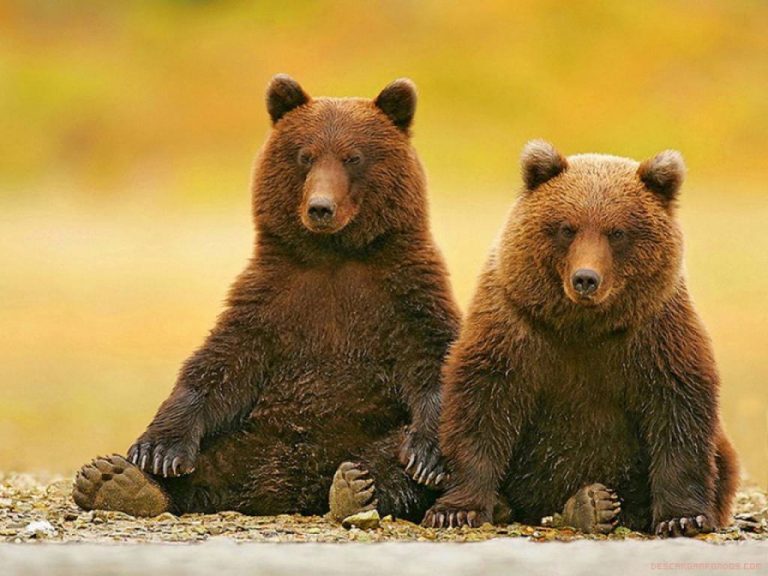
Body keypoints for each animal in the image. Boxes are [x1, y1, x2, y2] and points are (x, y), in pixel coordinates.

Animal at [72, 76, 460, 520]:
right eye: (305, 155)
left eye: (353, 157)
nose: (320, 207)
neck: (334, 256)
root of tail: (289, 487)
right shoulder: (274, 295)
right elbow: (221, 362)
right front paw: (158, 449)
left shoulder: (404, 291)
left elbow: (434, 355)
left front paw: (426, 456)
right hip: (249, 435)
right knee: (210, 461)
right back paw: (117, 481)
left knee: (391, 455)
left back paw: (357, 486)